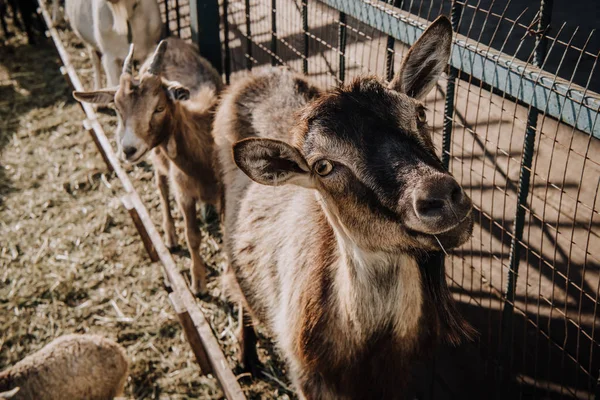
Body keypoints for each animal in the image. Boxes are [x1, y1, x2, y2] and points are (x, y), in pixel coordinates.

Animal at [73, 37, 223, 294]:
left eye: (159, 107)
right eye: (117, 108)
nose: (128, 149)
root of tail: (171, 39)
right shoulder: (183, 193)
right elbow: (192, 236)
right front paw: (198, 283)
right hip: (157, 159)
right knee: (161, 187)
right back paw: (170, 237)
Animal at [213, 14, 476, 396]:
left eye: (420, 114)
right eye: (323, 166)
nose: (440, 196)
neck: (368, 340)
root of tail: (256, 75)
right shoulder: (309, 377)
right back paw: (246, 358)